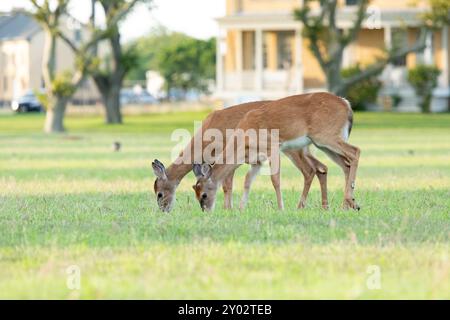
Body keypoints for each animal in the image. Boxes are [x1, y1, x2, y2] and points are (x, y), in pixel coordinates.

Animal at [153, 100, 328, 212]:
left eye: (159, 193)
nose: (163, 210)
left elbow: (226, 184)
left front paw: (227, 209)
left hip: (292, 148)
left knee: (309, 170)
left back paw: (302, 206)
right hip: (304, 149)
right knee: (321, 167)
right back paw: (323, 206)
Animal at [192, 92, 360, 212]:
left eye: (204, 194)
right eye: (195, 193)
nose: (205, 210)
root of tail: (346, 104)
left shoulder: (273, 147)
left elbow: (275, 180)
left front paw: (280, 208)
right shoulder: (257, 161)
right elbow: (247, 180)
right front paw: (241, 208)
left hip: (325, 136)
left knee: (355, 151)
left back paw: (347, 202)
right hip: (323, 143)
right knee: (345, 164)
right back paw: (347, 204)